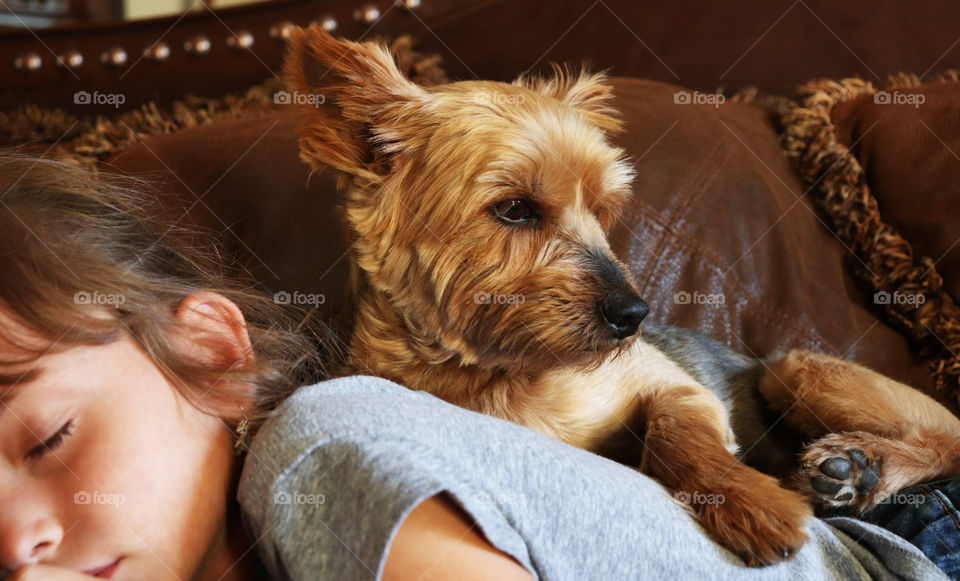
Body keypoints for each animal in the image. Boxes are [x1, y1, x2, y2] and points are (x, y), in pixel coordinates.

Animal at [284, 27, 960, 568]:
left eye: (602, 210)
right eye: (514, 210)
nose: (635, 316)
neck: (496, 374)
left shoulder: (675, 385)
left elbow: (673, 430)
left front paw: (750, 500)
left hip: (793, 369)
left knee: (946, 441)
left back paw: (862, 462)